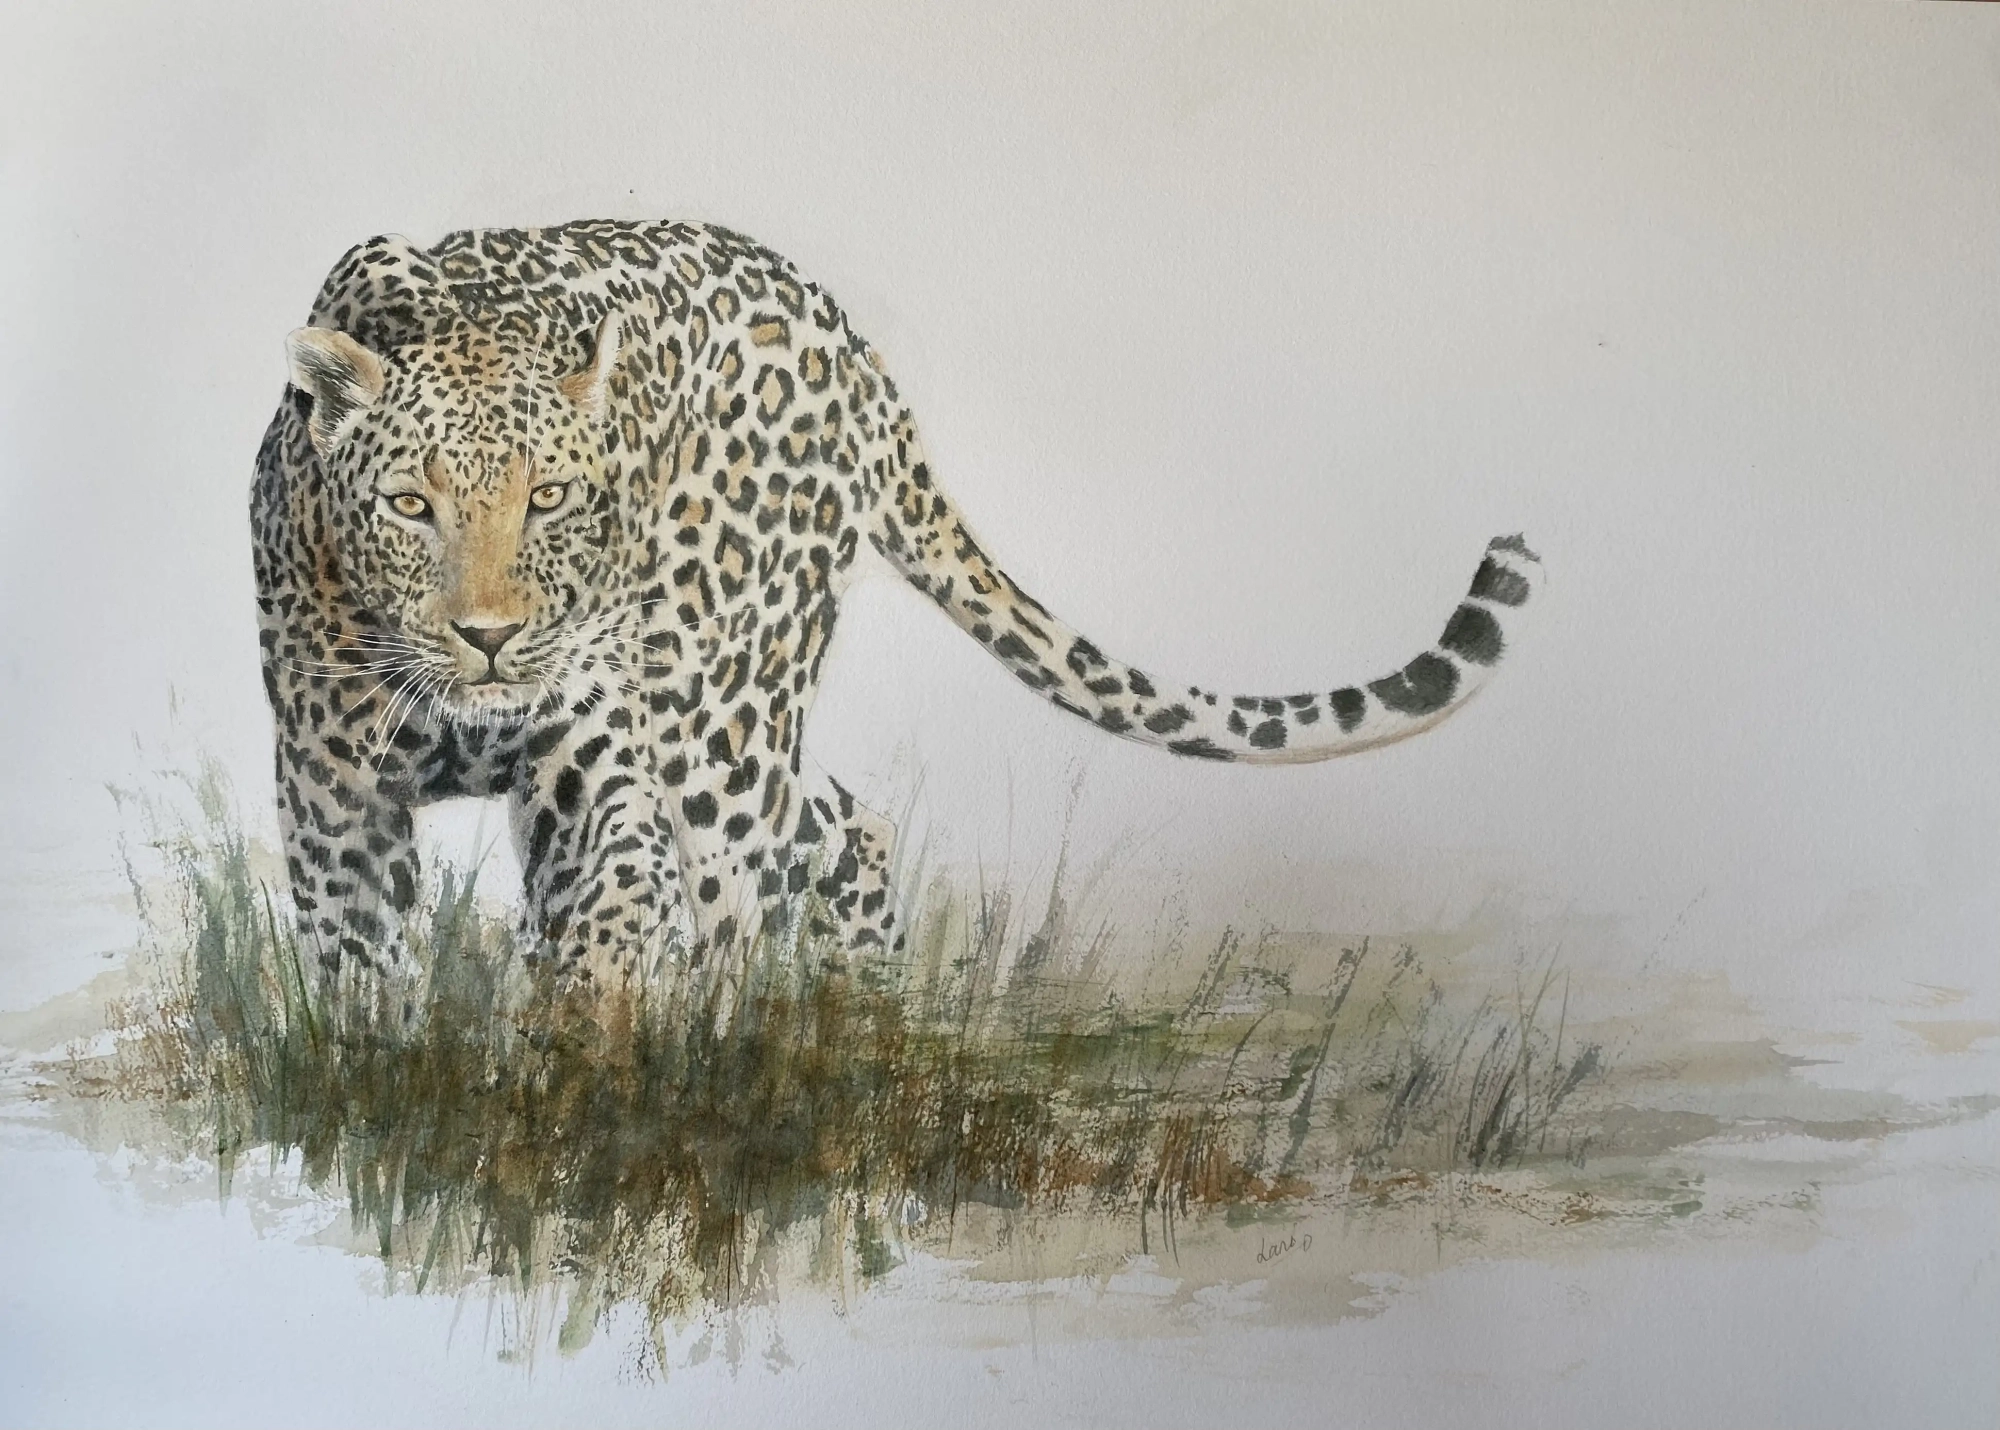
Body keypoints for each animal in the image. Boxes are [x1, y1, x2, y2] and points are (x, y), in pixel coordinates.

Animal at [251, 219, 1542, 988]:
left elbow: (607, 932)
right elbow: (360, 977)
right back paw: (854, 1015)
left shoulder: (599, 771)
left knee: (740, 899)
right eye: (412, 505)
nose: (490, 638)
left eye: (552, 497)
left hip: (717, 721)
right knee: (843, 824)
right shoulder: (334, 792)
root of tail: (849, 346)